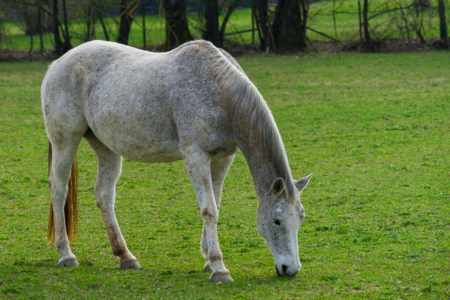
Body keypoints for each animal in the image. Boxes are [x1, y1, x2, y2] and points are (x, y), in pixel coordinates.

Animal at [41, 39, 310, 282]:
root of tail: (57, 63)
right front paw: (219, 269)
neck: (218, 91)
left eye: (300, 218)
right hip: (65, 141)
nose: (290, 269)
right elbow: (209, 210)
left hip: (106, 147)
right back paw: (66, 255)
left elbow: (216, 203)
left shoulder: (223, 159)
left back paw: (126, 257)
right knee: (59, 189)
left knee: (104, 194)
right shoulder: (196, 156)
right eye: (276, 220)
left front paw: (208, 259)